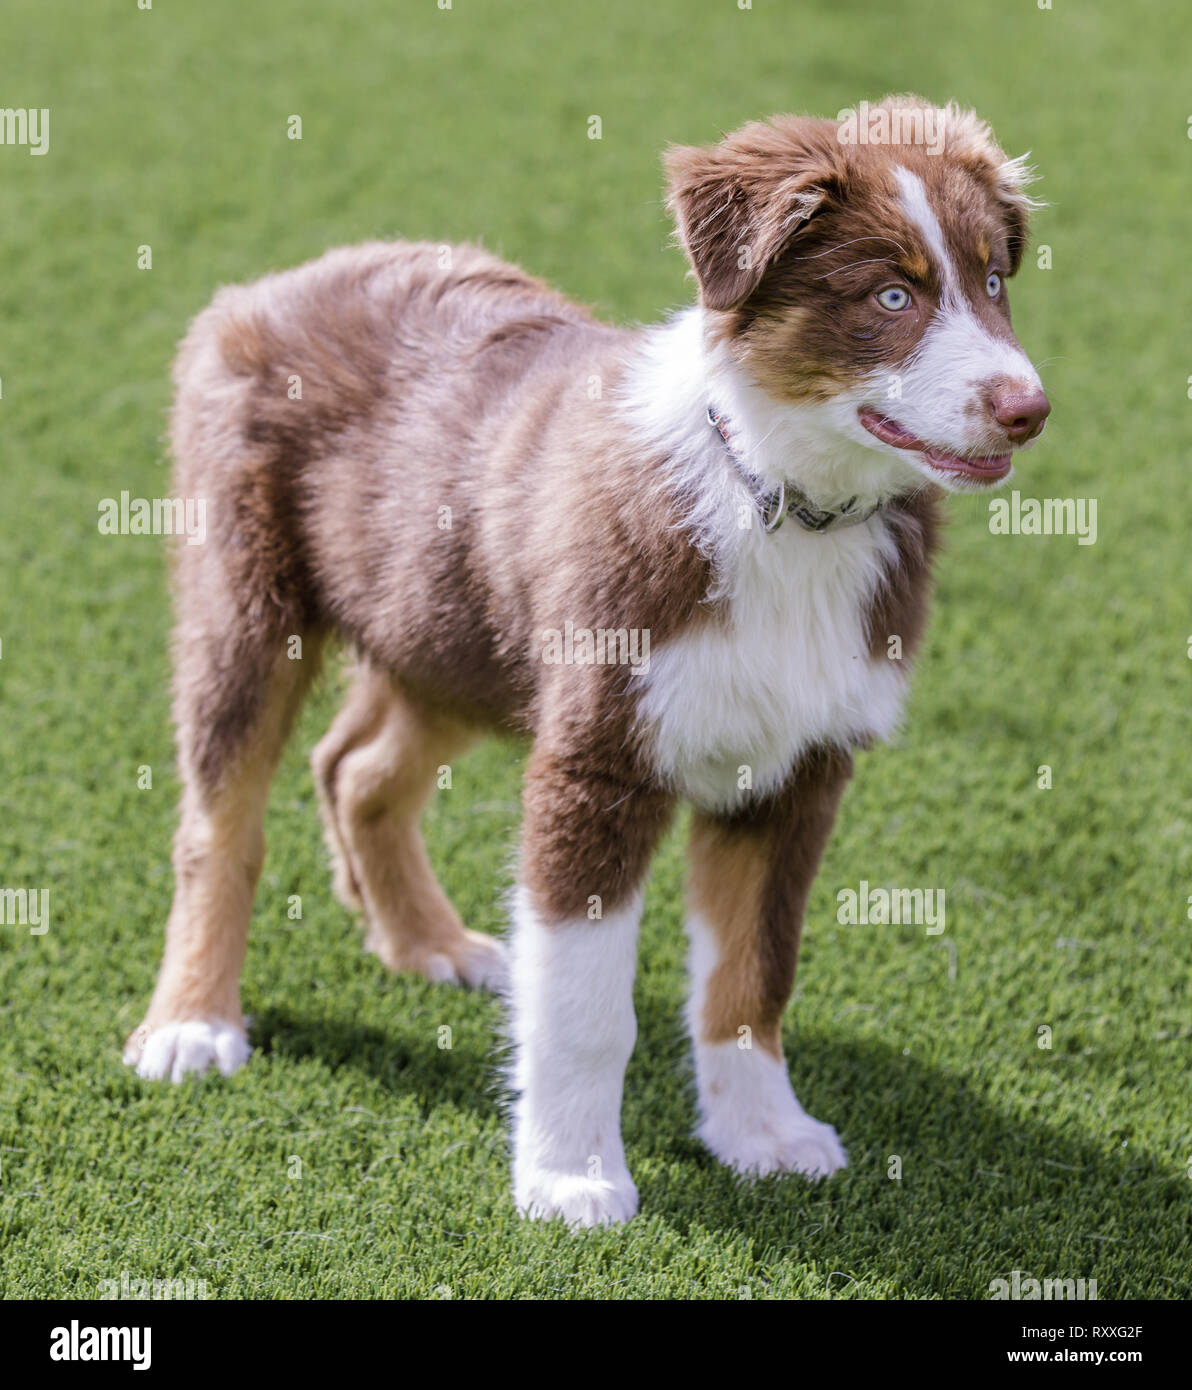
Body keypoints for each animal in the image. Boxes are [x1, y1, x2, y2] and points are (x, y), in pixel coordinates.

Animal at [125, 97, 1044, 1228]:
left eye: (994, 281)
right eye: (891, 294)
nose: (1028, 409)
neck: (784, 504)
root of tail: (269, 283)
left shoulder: (797, 768)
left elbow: (753, 974)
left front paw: (762, 1137)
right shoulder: (598, 758)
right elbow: (583, 1003)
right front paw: (572, 1178)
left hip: (455, 626)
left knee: (357, 769)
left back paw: (425, 943)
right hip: (249, 603)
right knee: (221, 823)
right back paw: (193, 1022)